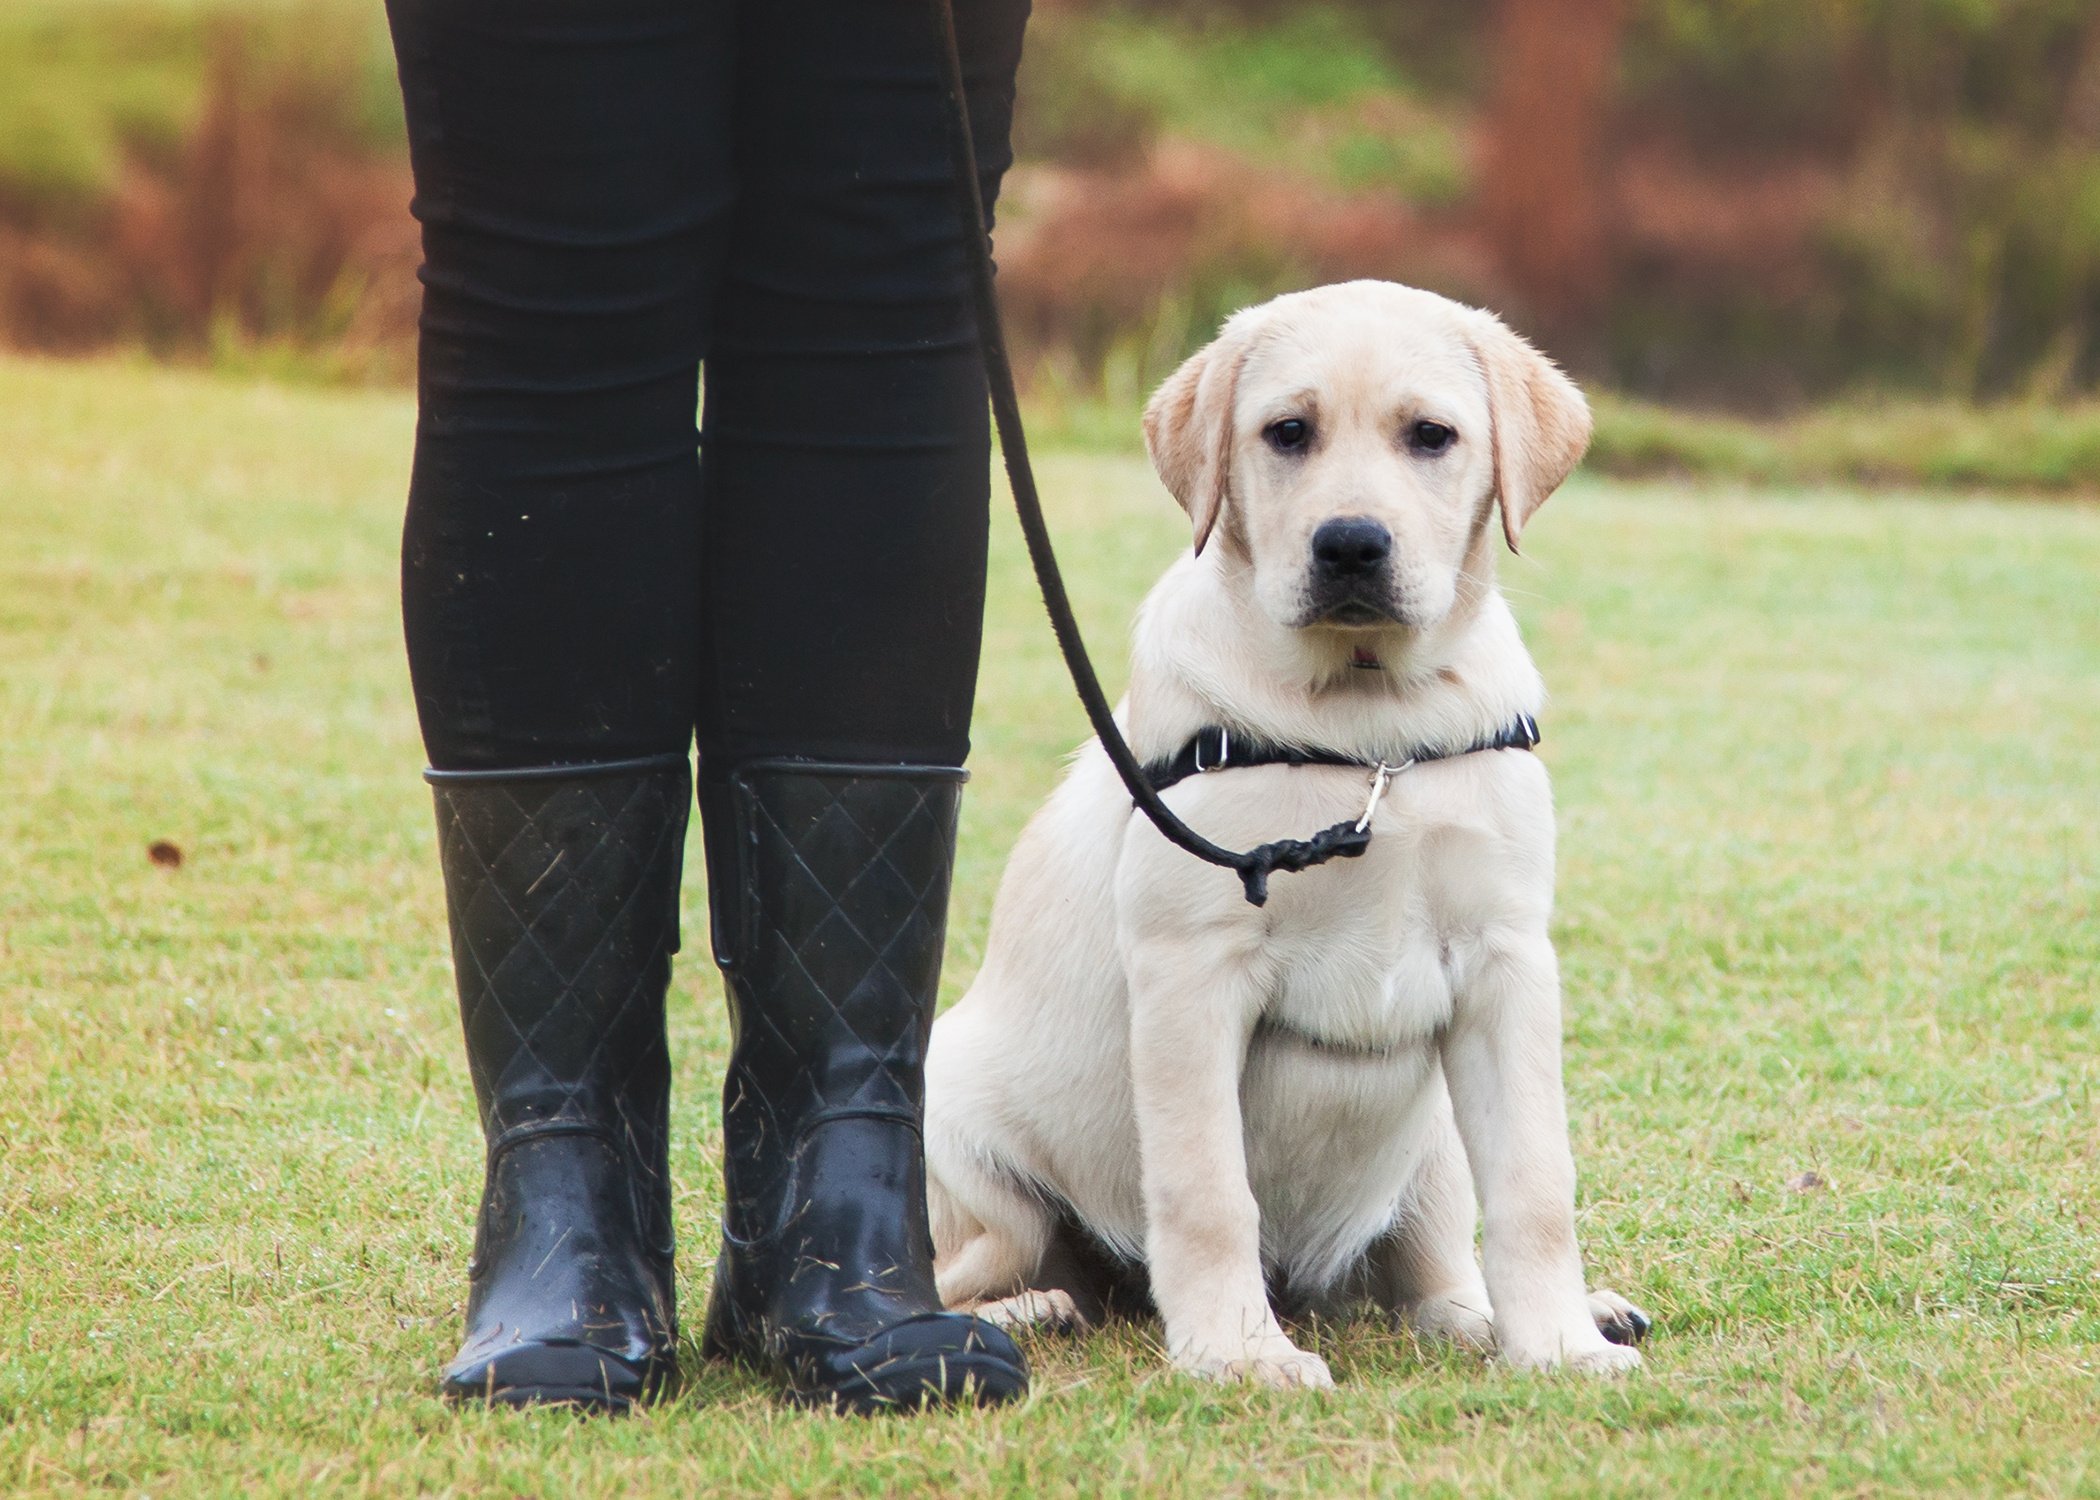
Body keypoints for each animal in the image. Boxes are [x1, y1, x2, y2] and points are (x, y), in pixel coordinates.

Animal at [928, 277, 1646, 1378]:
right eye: (1287, 432)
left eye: (1431, 436)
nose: (1350, 543)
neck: (1369, 730)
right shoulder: (1192, 972)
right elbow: (1206, 1190)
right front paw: (1239, 1355)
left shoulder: (1507, 963)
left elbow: (1535, 1184)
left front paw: (1561, 1345)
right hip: (962, 1143)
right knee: (963, 1271)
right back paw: (1033, 1309)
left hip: (1432, 1144)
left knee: (1427, 1283)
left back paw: (1510, 1316)